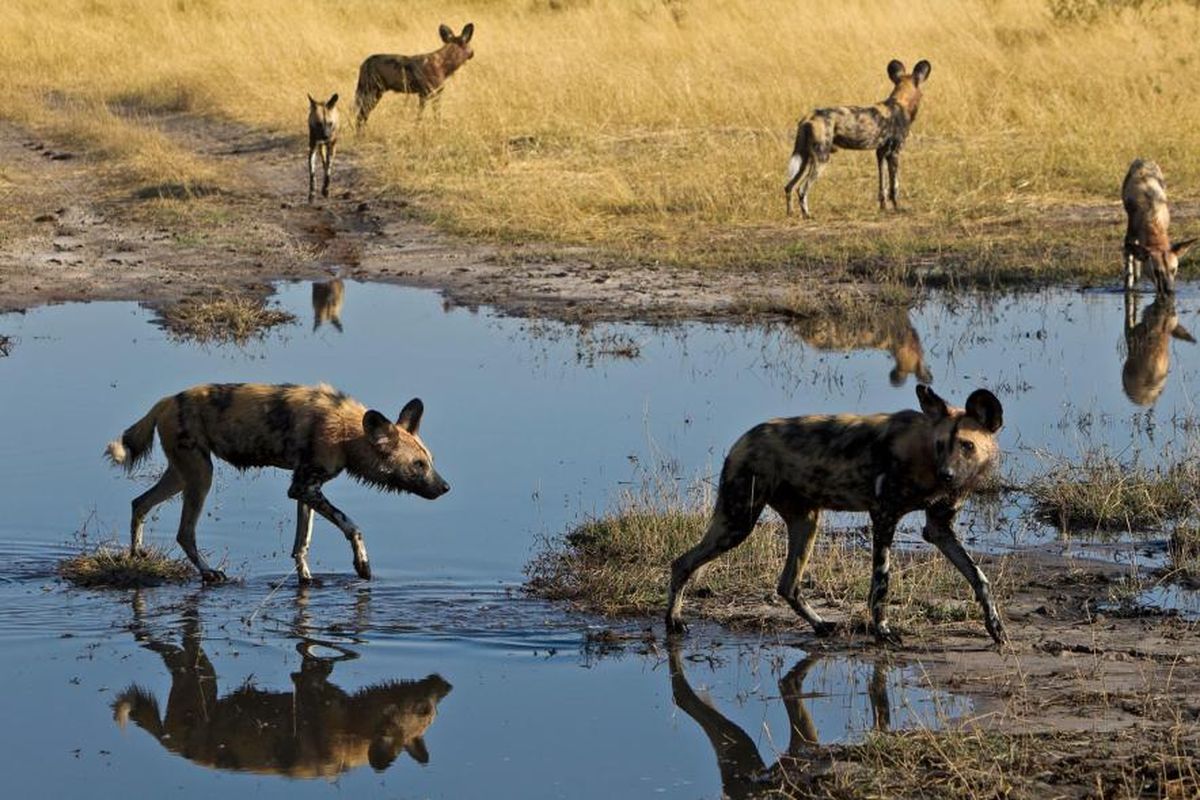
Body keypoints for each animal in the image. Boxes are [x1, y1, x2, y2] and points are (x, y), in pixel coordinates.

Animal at [103, 383, 448, 585]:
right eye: (417, 465)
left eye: (430, 461)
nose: (445, 488)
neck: (348, 433)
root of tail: (166, 401)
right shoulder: (304, 488)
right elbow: (352, 526)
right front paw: (362, 565)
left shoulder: (306, 490)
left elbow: (301, 543)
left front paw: (306, 580)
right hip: (201, 477)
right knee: (184, 532)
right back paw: (209, 572)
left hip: (182, 474)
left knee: (140, 503)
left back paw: (136, 555)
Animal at [672, 383, 1008, 647]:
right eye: (940, 445)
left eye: (967, 445)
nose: (947, 475)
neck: (925, 457)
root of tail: (745, 438)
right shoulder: (883, 517)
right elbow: (881, 585)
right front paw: (882, 632)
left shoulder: (939, 528)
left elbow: (980, 578)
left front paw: (994, 625)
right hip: (737, 523)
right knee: (682, 563)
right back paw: (673, 622)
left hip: (805, 523)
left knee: (787, 585)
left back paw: (821, 625)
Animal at [782, 58, 931, 219]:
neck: (900, 103)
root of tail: (807, 117)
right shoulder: (894, 153)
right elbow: (894, 186)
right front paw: (897, 208)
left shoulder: (881, 153)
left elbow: (882, 185)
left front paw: (883, 207)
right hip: (821, 159)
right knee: (801, 189)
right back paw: (807, 215)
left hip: (805, 160)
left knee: (789, 186)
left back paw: (790, 213)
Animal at [1118, 158, 1195, 292]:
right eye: (1157, 272)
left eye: (1173, 270)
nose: (1169, 290)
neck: (1152, 221)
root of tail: (1143, 159)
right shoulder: (1130, 236)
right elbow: (1129, 272)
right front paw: (1129, 287)